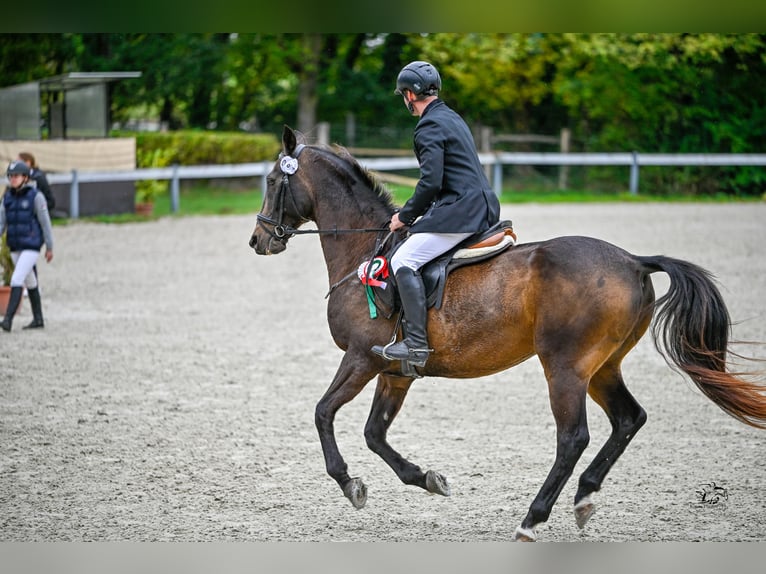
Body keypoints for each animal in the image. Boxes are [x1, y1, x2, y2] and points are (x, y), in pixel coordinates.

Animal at [249, 127, 764, 544]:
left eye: (273, 182)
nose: (259, 241)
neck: (365, 249)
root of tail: (634, 261)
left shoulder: (360, 358)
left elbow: (322, 413)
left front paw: (350, 484)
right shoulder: (395, 369)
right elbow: (375, 433)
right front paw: (428, 478)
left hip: (565, 367)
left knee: (573, 437)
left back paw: (532, 519)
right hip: (603, 367)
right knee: (628, 419)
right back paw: (583, 498)